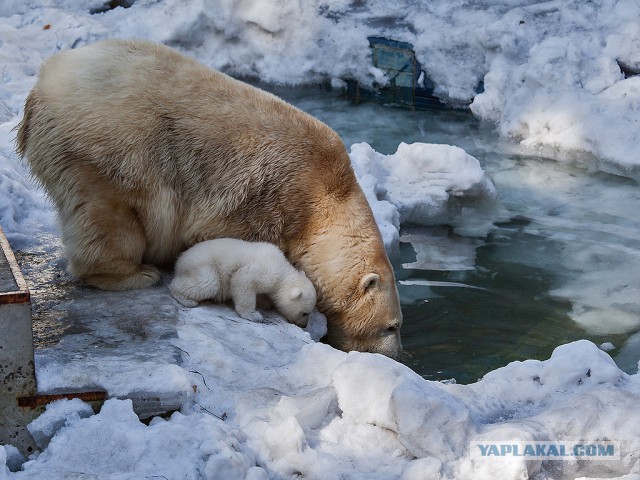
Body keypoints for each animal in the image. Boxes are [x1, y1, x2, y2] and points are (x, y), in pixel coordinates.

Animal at [170, 239, 318, 328]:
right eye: (305, 313)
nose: (304, 326)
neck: (282, 270)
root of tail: (180, 261)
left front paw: (265, 303)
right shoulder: (266, 272)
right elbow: (242, 281)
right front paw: (254, 315)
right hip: (202, 266)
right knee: (208, 283)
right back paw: (186, 299)